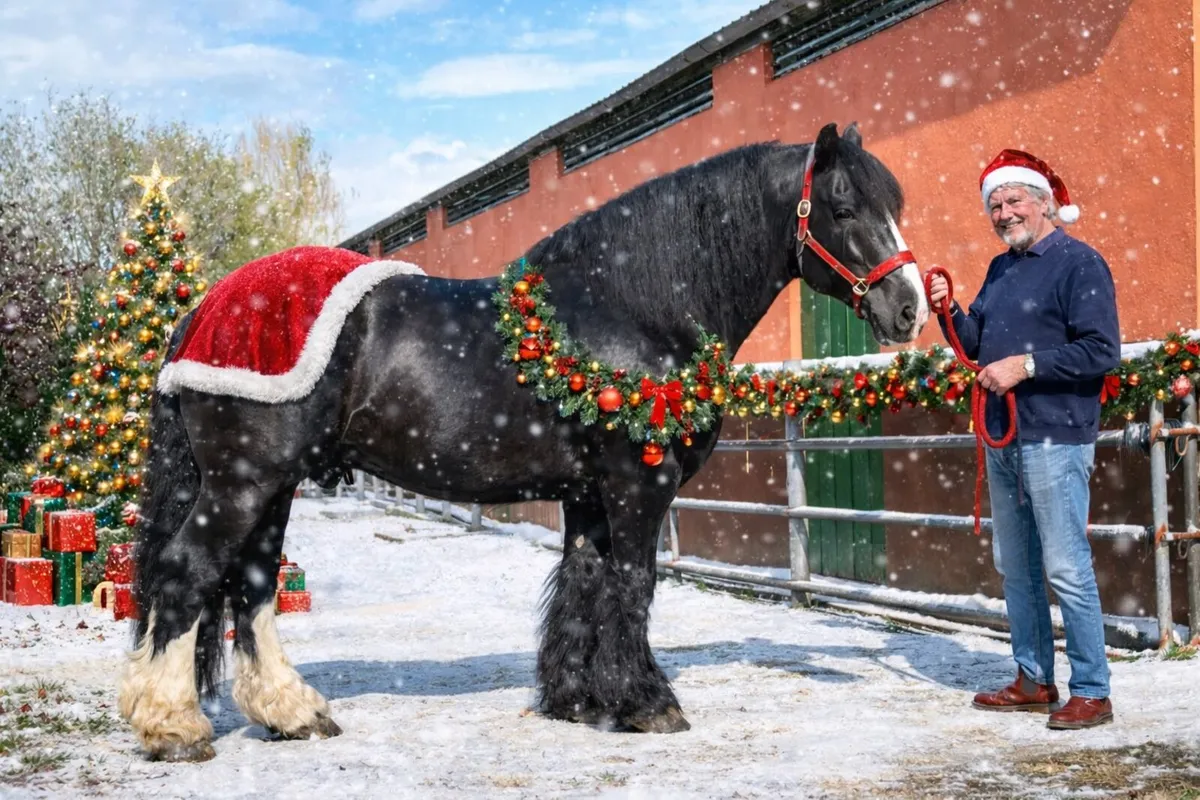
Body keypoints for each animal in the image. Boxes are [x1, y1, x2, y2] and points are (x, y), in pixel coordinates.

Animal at [117, 122, 929, 761]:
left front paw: (580, 700)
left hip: (275, 484)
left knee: (252, 585)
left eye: (898, 204)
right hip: (243, 481)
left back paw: (293, 712)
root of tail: (203, 311)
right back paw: (173, 726)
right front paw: (649, 703)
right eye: (843, 207)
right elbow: (634, 582)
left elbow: (584, 581)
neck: (630, 307)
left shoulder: (588, 495)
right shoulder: (638, 484)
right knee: (189, 572)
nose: (912, 309)